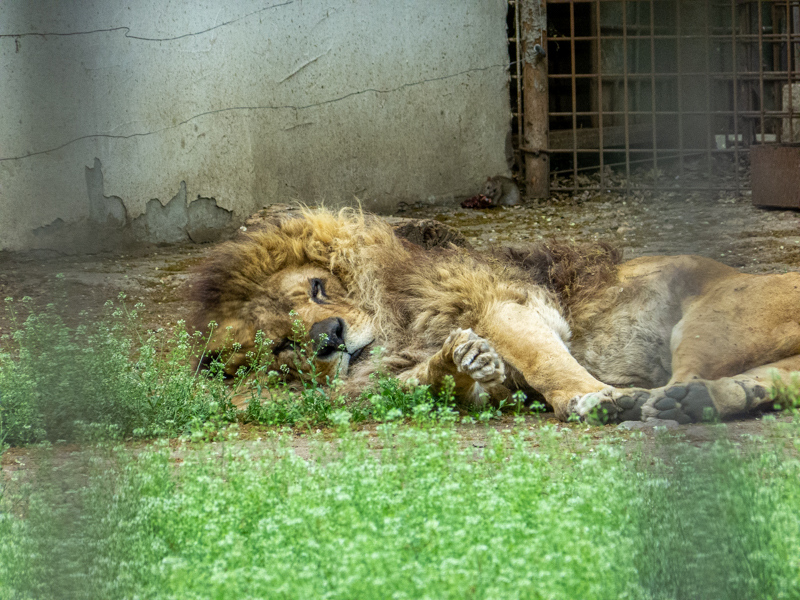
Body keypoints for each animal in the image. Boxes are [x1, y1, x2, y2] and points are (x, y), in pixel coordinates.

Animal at [190, 207, 800, 424]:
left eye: (318, 290)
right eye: (280, 347)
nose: (329, 338)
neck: (398, 326)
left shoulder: (505, 304)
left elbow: (548, 360)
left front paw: (593, 397)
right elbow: (436, 382)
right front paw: (457, 363)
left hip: (709, 320)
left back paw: (666, 402)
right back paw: (706, 401)